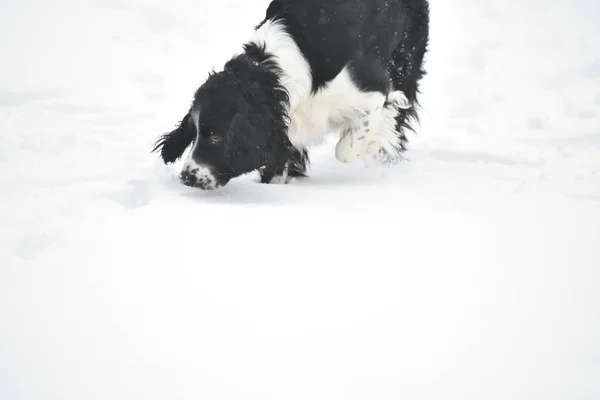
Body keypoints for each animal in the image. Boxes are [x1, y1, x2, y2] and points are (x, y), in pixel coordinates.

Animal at [152, 0, 428, 190]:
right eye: (194, 132)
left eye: (215, 137)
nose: (187, 177)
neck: (271, 71)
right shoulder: (282, 121)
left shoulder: (371, 88)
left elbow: (346, 149)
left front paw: (377, 139)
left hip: (405, 56)